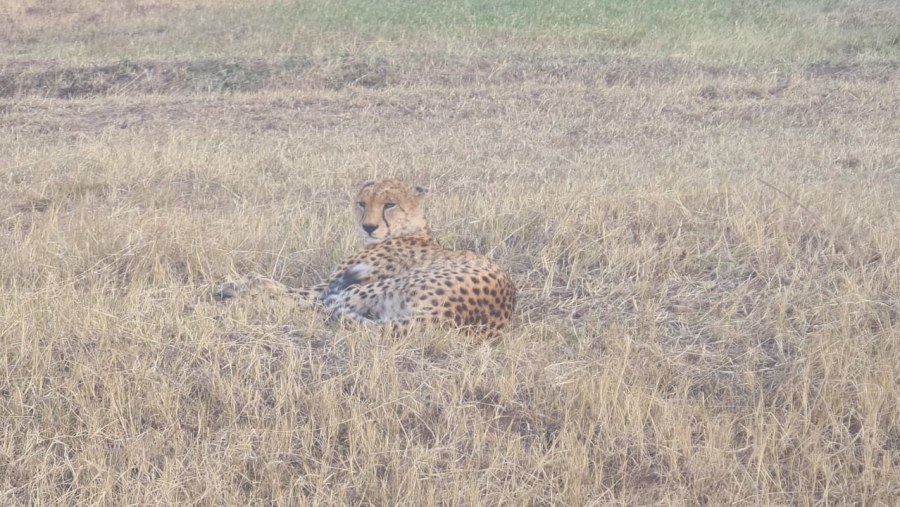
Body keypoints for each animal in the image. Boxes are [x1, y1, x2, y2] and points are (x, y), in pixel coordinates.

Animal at [216, 181, 512, 340]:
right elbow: (280, 284)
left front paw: (236, 286)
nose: (368, 227)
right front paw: (243, 282)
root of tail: (447, 319)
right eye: (361, 203)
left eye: (390, 204)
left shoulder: (336, 283)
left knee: (322, 307)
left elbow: (290, 290)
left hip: (370, 288)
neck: (410, 229)